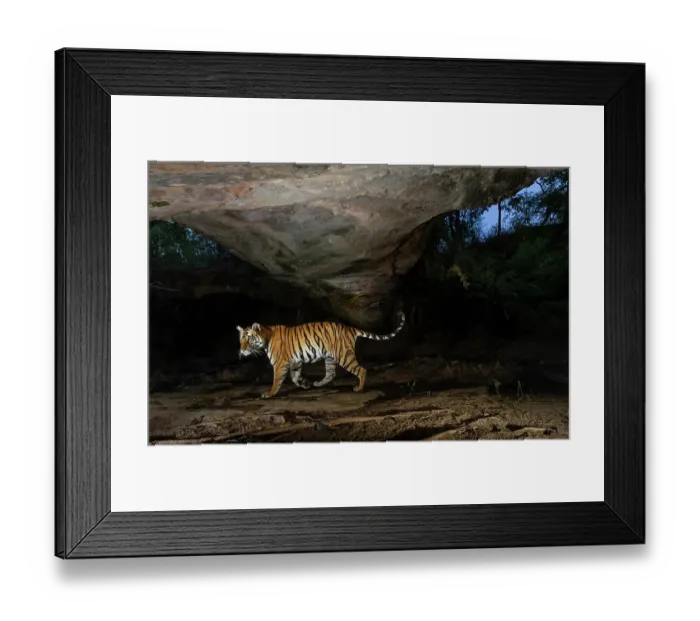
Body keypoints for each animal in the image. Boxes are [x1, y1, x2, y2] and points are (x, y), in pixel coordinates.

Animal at [237, 312, 405, 398]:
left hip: (344, 355)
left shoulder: (280, 363)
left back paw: (359, 388)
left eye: (249, 339)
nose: (241, 351)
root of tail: (349, 328)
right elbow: (295, 377)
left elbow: (276, 380)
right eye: (241, 340)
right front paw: (305, 384)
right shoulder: (295, 362)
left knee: (361, 369)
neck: (266, 336)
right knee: (330, 374)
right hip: (330, 357)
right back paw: (317, 384)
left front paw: (269, 393)